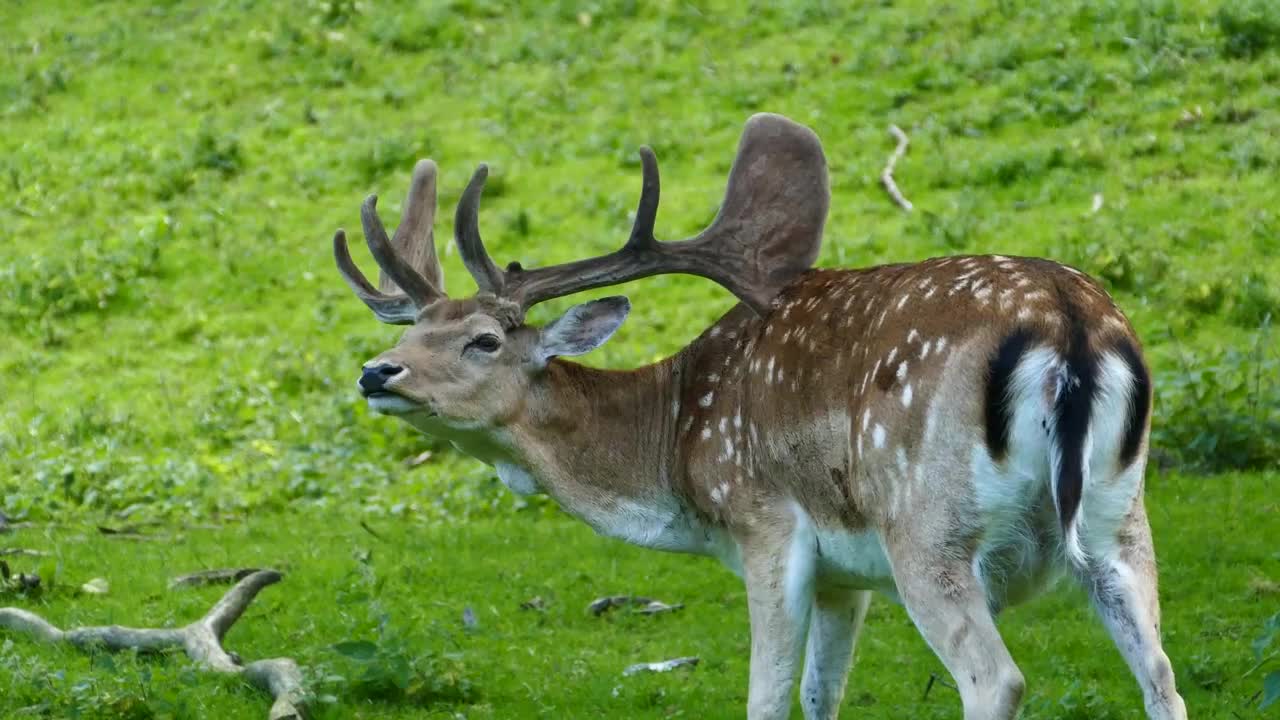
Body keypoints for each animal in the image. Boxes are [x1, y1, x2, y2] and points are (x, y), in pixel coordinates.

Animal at [329, 114, 1187, 720]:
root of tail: (1069, 326)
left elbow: (767, 699)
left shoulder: (766, 523)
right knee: (1161, 675)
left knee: (997, 680)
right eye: (412, 329)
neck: (676, 459)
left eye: (483, 339)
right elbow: (820, 696)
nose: (376, 371)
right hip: (1119, 517)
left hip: (929, 521)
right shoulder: (848, 572)